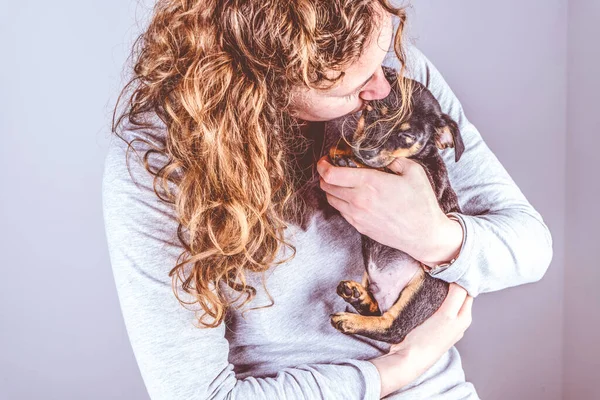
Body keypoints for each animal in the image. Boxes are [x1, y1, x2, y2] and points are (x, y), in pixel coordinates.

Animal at [328, 67, 464, 342]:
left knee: (392, 329)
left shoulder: (427, 180)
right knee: (376, 310)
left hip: (423, 286)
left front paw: (352, 160)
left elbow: (383, 168)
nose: (365, 151)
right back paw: (358, 297)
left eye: (406, 136)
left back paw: (349, 320)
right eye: (372, 114)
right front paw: (346, 151)